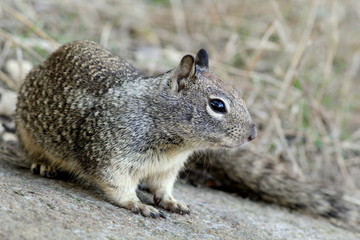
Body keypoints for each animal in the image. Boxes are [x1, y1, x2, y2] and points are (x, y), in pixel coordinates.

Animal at [15, 40, 258, 218]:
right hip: (26, 132)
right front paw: (139, 204)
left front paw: (173, 202)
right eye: (217, 105)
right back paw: (44, 165)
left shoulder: (167, 169)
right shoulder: (111, 156)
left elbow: (163, 187)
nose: (253, 134)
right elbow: (118, 185)